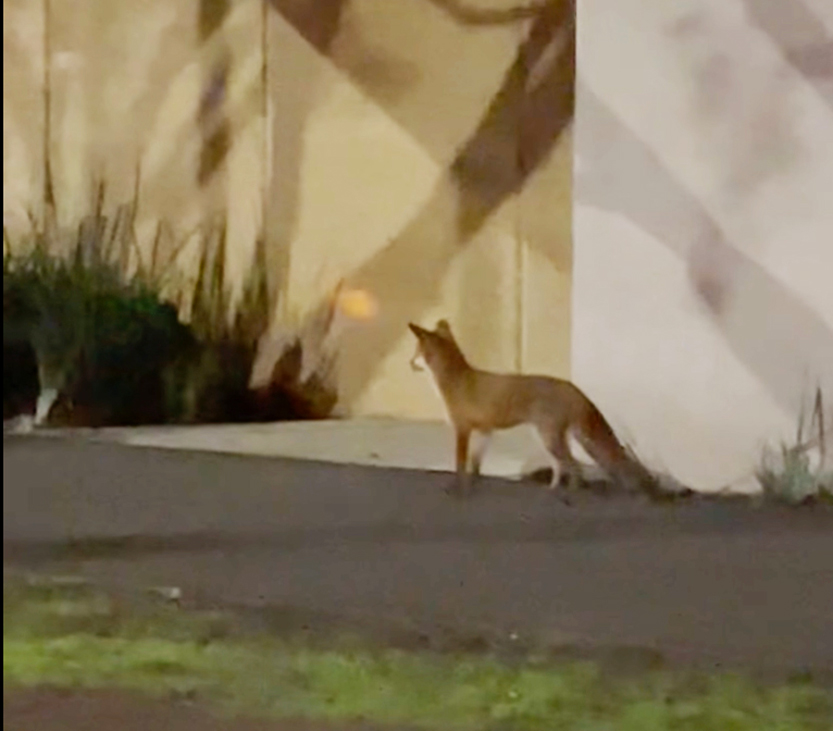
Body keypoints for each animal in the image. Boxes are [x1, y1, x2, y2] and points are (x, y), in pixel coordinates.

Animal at [408, 319, 657, 497]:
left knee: (574, 466)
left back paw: (571, 494)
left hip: (549, 438)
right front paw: (474, 484)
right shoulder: (486, 430)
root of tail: (572, 387)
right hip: (548, 439)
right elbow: (475, 464)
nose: (409, 363)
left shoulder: (462, 429)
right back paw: (552, 489)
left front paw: (456, 488)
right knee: (560, 467)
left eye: (416, 352)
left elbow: (460, 464)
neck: (458, 381)